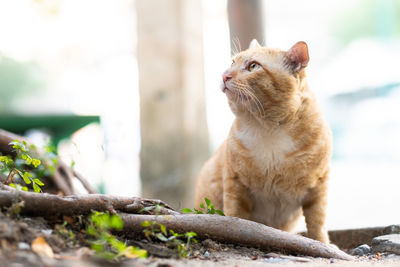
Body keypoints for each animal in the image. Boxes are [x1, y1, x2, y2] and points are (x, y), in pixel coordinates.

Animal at [195, 40, 332, 245]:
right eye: (233, 62)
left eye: (253, 66)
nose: (224, 75)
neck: (267, 129)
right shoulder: (235, 183)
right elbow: (236, 216)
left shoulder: (318, 186)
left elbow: (317, 223)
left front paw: (321, 243)